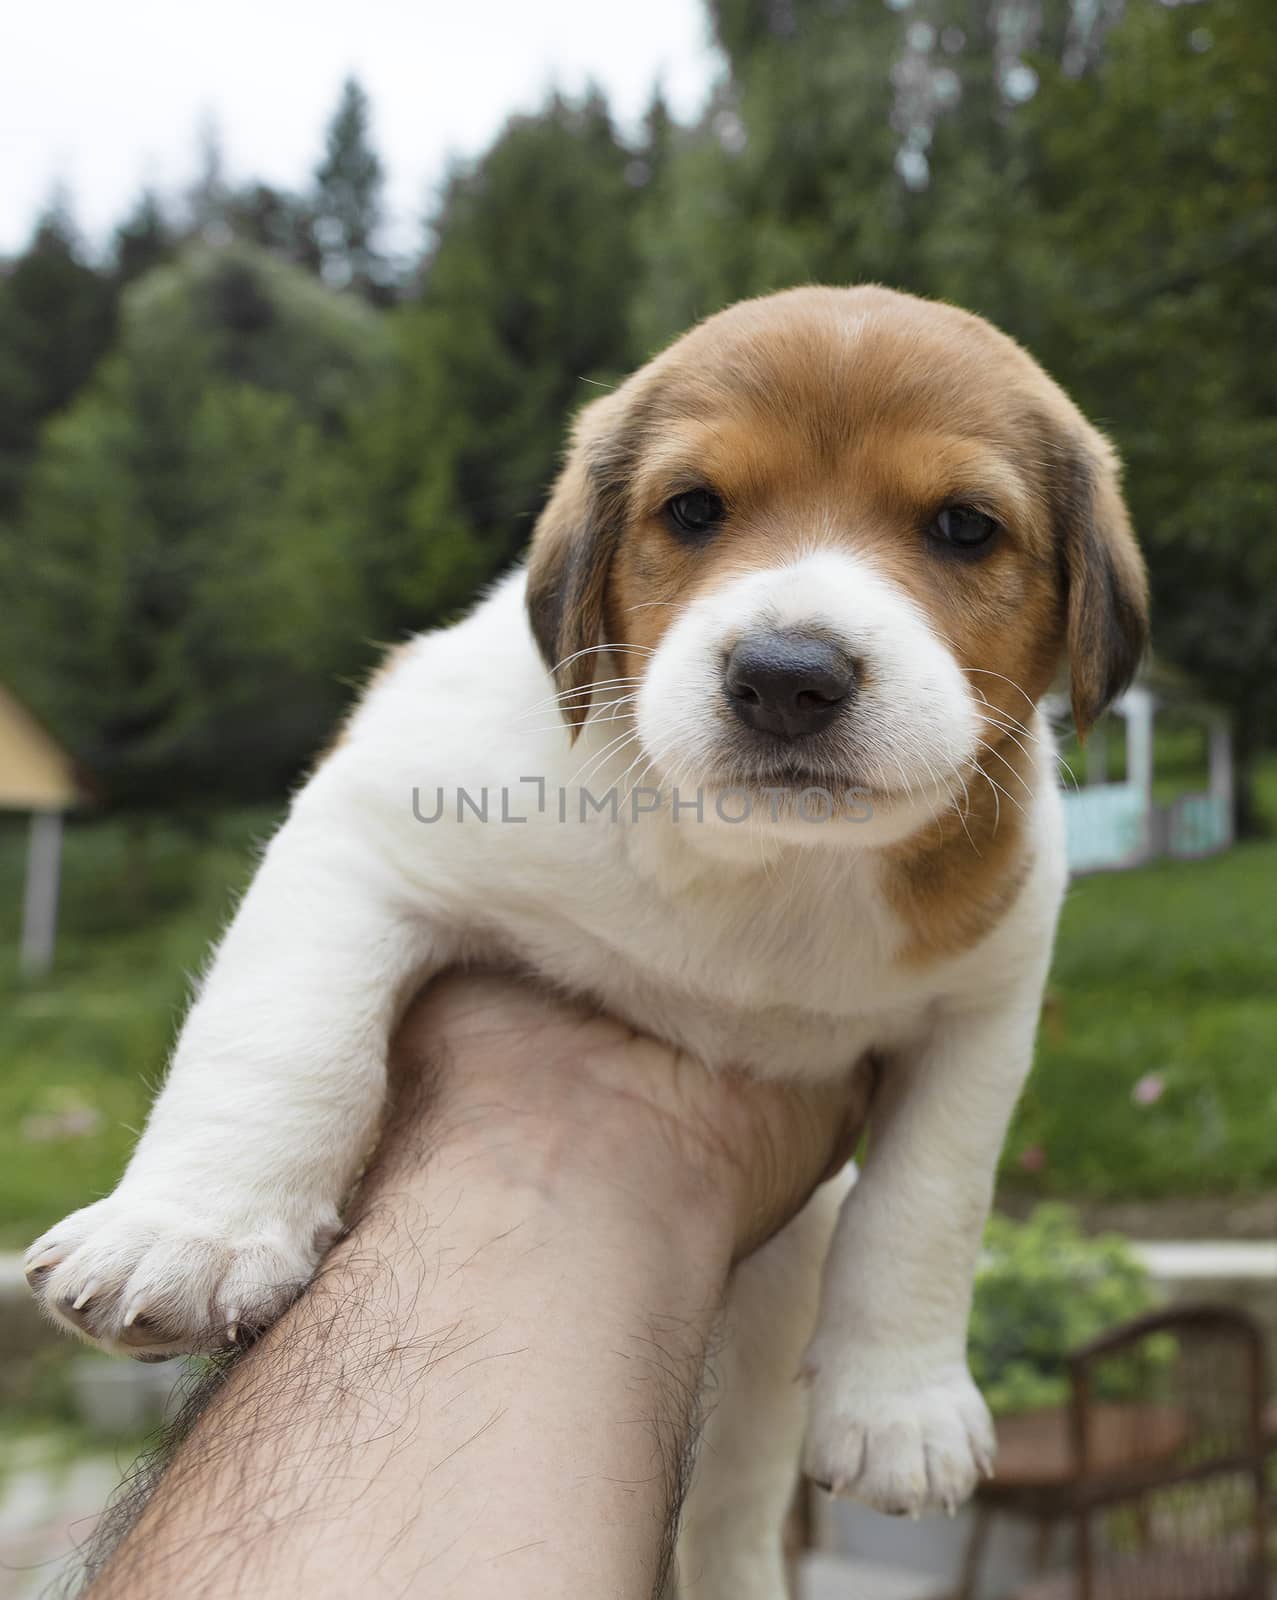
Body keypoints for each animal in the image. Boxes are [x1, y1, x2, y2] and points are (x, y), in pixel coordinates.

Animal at [27, 288, 1152, 1600]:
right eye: (693, 509)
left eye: (964, 527)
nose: (784, 677)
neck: (758, 864)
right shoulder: (357, 835)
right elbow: (283, 1035)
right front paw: (187, 1232)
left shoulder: (984, 1011)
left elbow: (925, 1203)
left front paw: (901, 1408)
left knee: (729, 1503)